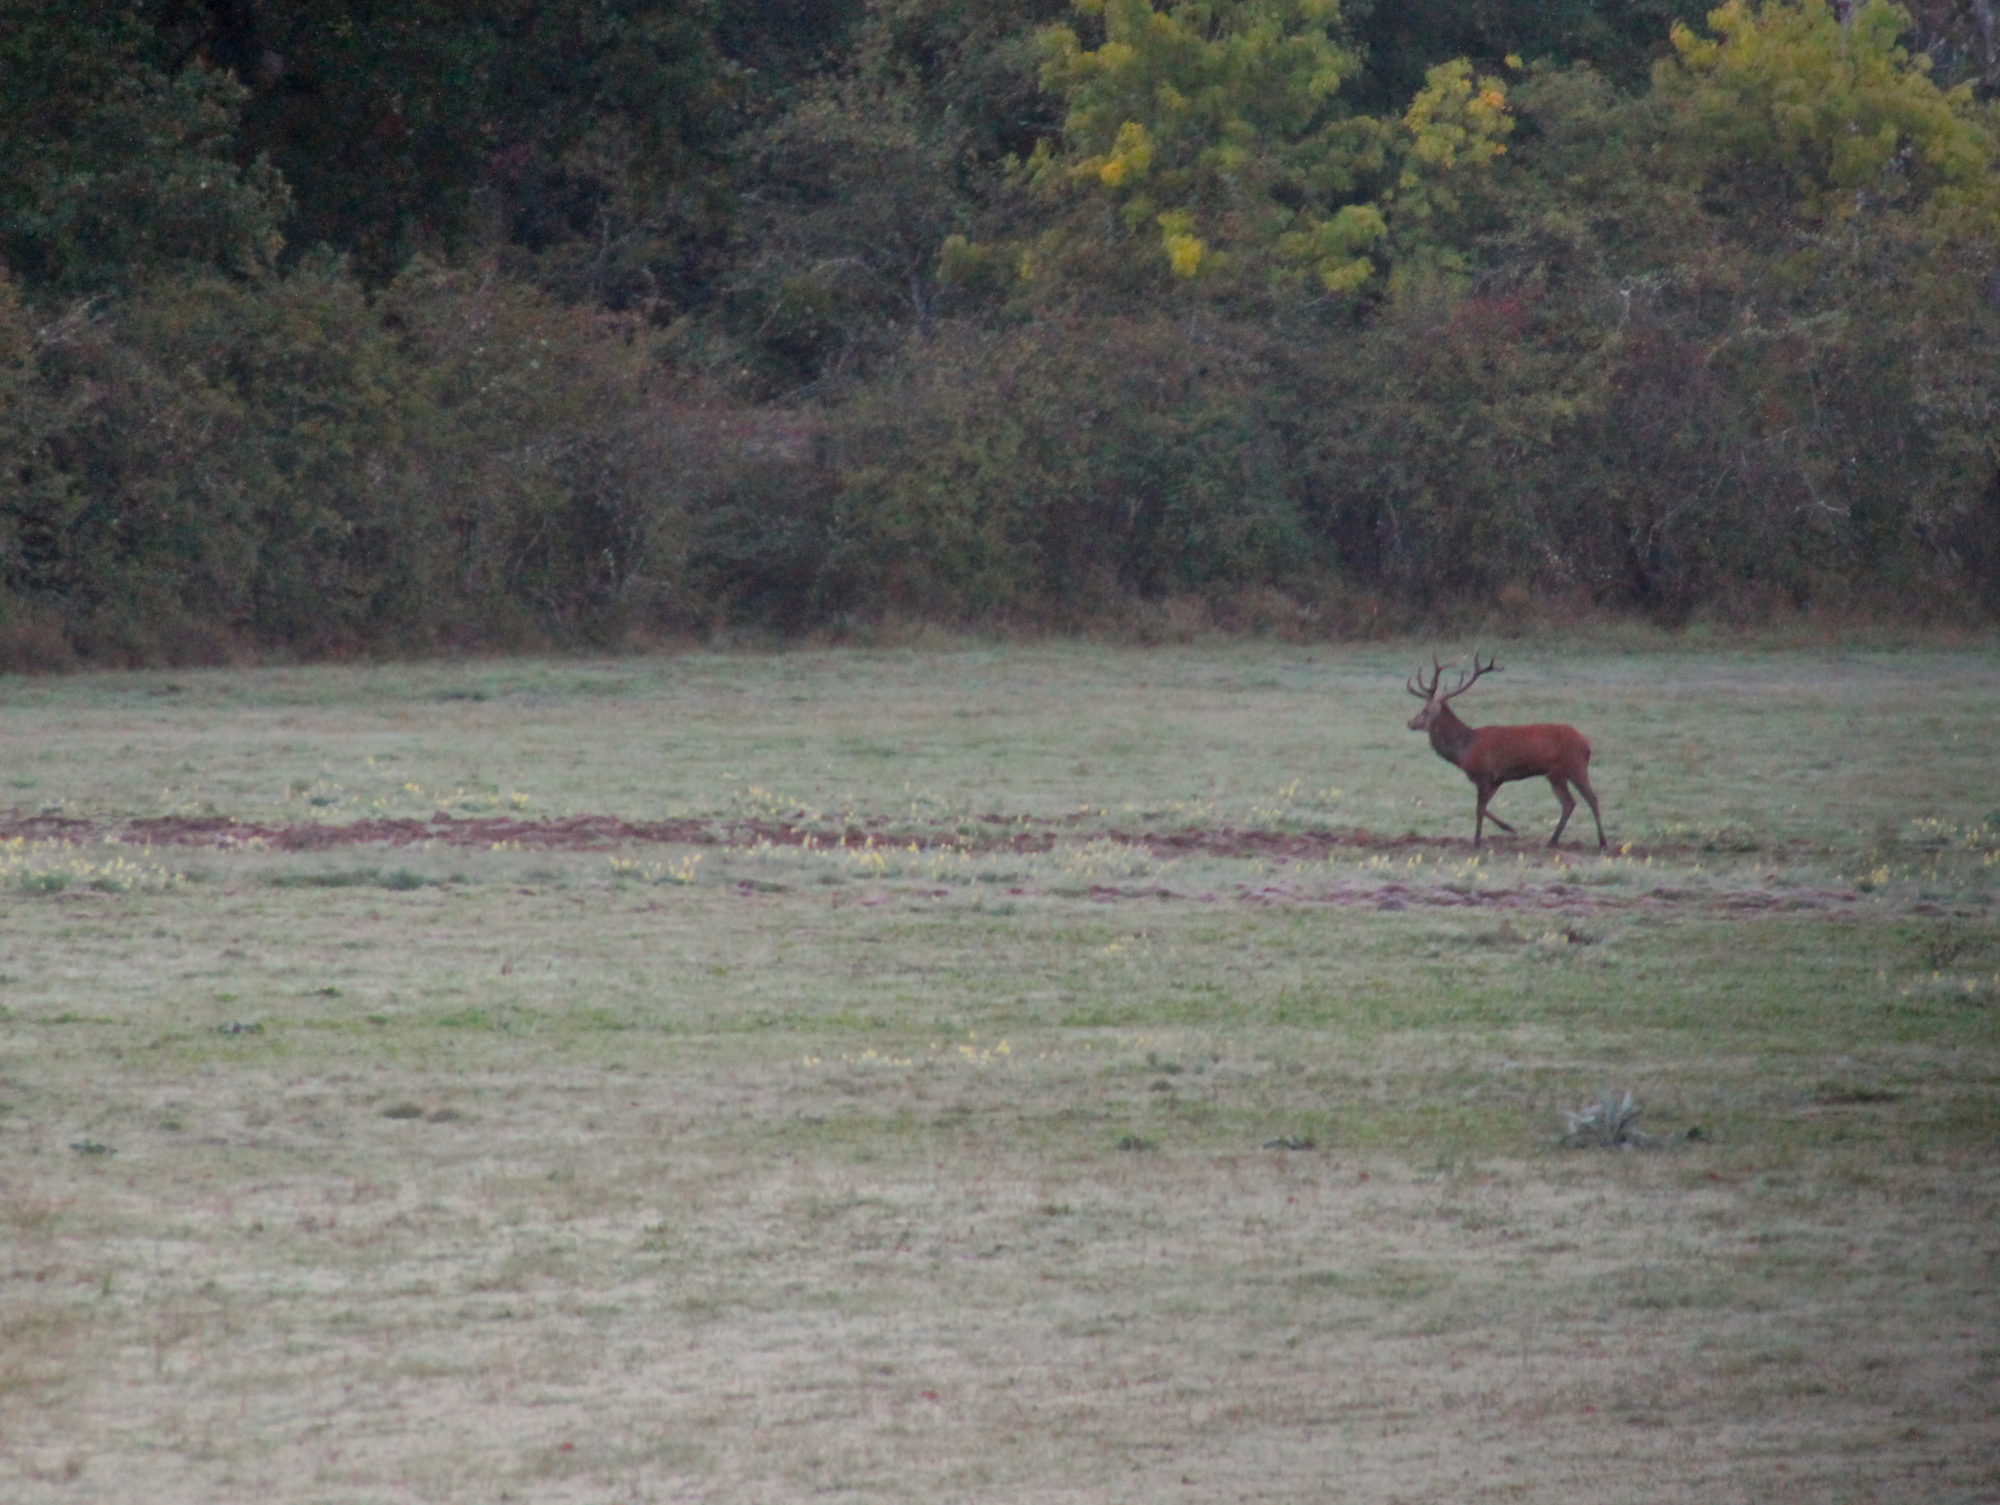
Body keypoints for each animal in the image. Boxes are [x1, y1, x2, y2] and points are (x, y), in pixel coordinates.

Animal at [1406, 653, 1605, 850]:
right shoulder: (1497, 779)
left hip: (1575, 765)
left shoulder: (1484, 774)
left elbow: (1479, 809)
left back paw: (1602, 842)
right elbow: (1484, 808)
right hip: (1555, 774)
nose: (1410, 722)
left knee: (1592, 798)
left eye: (1424, 710)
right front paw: (1510, 829)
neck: (1464, 750)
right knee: (1569, 803)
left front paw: (1478, 840)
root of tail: (1587, 743)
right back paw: (1552, 841)